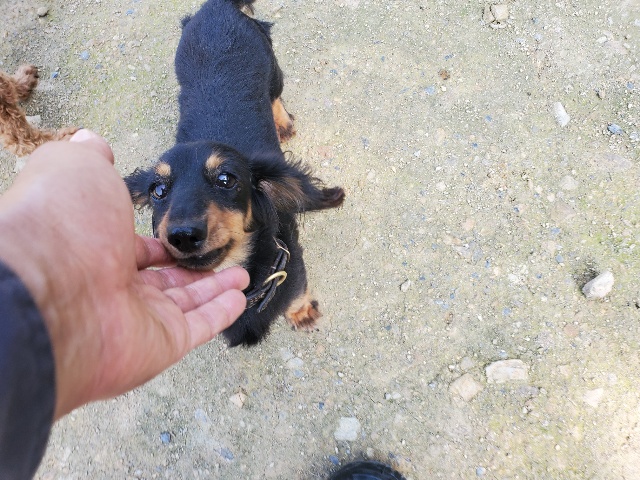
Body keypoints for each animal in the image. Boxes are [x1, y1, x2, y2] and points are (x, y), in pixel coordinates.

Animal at [124, 0, 345, 346]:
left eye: (226, 179)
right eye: (157, 190)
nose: (182, 235)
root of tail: (216, 6)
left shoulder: (294, 268)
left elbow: (296, 294)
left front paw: (302, 313)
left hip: (271, 65)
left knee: (275, 95)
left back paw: (283, 123)